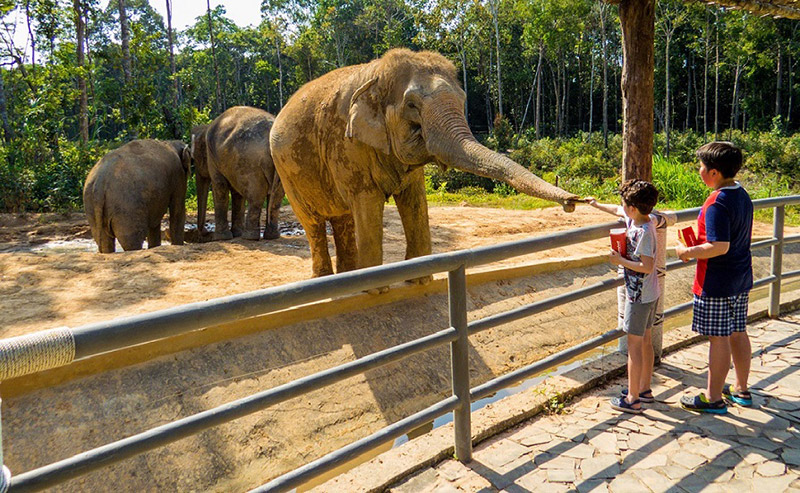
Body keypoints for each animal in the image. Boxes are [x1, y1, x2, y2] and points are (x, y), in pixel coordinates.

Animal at [203, 105, 284, 240]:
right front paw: (235, 234)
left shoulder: (212, 156)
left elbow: (220, 187)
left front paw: (222, 238)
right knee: (276, 197)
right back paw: (271, 236)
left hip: (250, 163)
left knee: (255, 196)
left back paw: (249, 237)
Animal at [270, 49, 580, 280]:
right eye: (411, 105)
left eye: (463, 100)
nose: (573, 201)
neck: (376, 73)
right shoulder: (346, 144)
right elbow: (367, 201)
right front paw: (375, 291)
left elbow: (415, 199)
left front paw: (418, 281)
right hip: (286, 172)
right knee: (313, 222)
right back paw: (328, 282)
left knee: (343, 219)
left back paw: (345, 279)